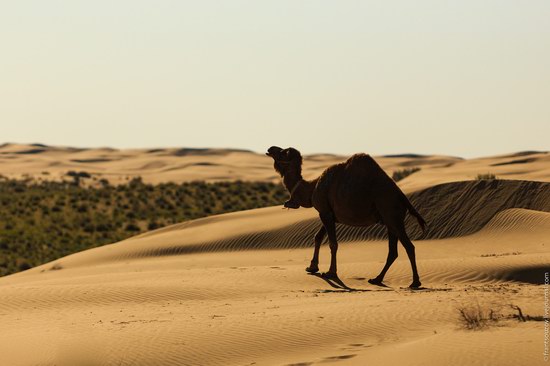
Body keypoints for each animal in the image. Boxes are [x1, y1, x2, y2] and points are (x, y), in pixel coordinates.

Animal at [266, 147, 426, 288]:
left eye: (282, 152)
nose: (270, 148)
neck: (313, 188)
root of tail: (402, 196)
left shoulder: (325, 212)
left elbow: (333, 243)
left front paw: (330, 273)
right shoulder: (329, 214)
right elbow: (318, 237)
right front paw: (312, 267)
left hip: (392, 216)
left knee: (409, 246)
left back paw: (415, 282)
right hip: (390, 221)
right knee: (393, 252)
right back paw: (376, 279)